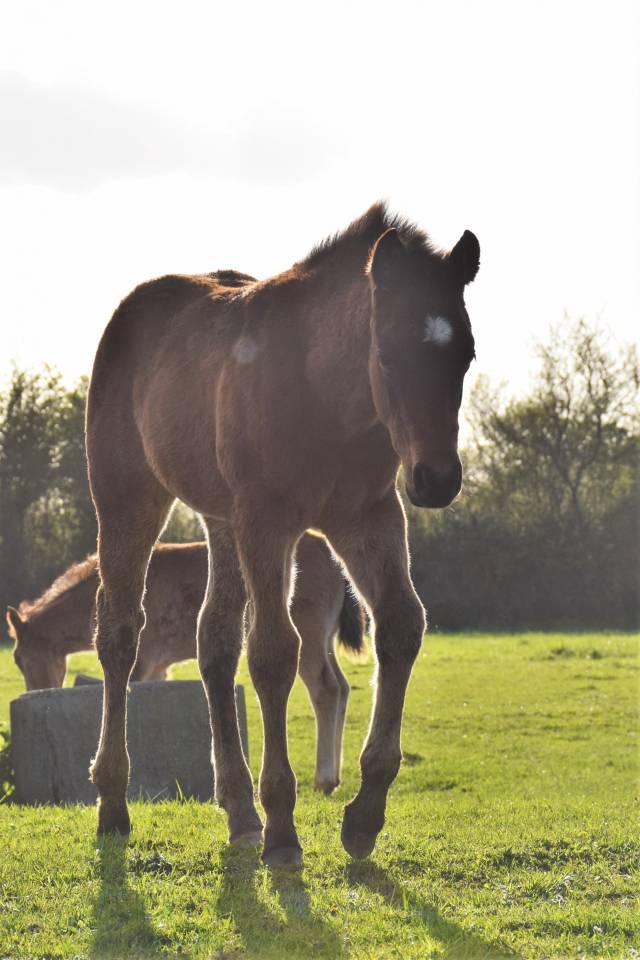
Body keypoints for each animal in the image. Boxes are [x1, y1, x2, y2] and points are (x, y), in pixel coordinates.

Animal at [6, 533, 364, 794]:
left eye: (19, 658)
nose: (36, 690)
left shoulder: (144, 659)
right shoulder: (159, 666)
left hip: (309, 636)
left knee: (326, 689)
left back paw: (324, 778)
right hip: (325, 640)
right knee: (343, 687)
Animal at [85, 205, 479, 867]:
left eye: (467, 354)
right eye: (389, 352)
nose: (437, 478)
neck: (328, 399)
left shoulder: (368, 515)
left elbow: (401, 624)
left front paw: (363, 814)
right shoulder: (267, 520)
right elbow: (273, 652)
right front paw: (284, 828)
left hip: (222, 521)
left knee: (214, 641)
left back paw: (239, 811)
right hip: (128, 500)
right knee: (118, 634)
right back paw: (114, 803)